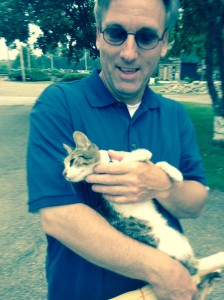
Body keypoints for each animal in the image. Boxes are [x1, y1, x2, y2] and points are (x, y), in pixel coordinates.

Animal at [63, 130, 198, 276]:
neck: (107, 162)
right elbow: (127, 160)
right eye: (65, 165)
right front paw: (142, 152)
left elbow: (158, 165)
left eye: (72, 161)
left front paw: (175, 172)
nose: (64, 173)